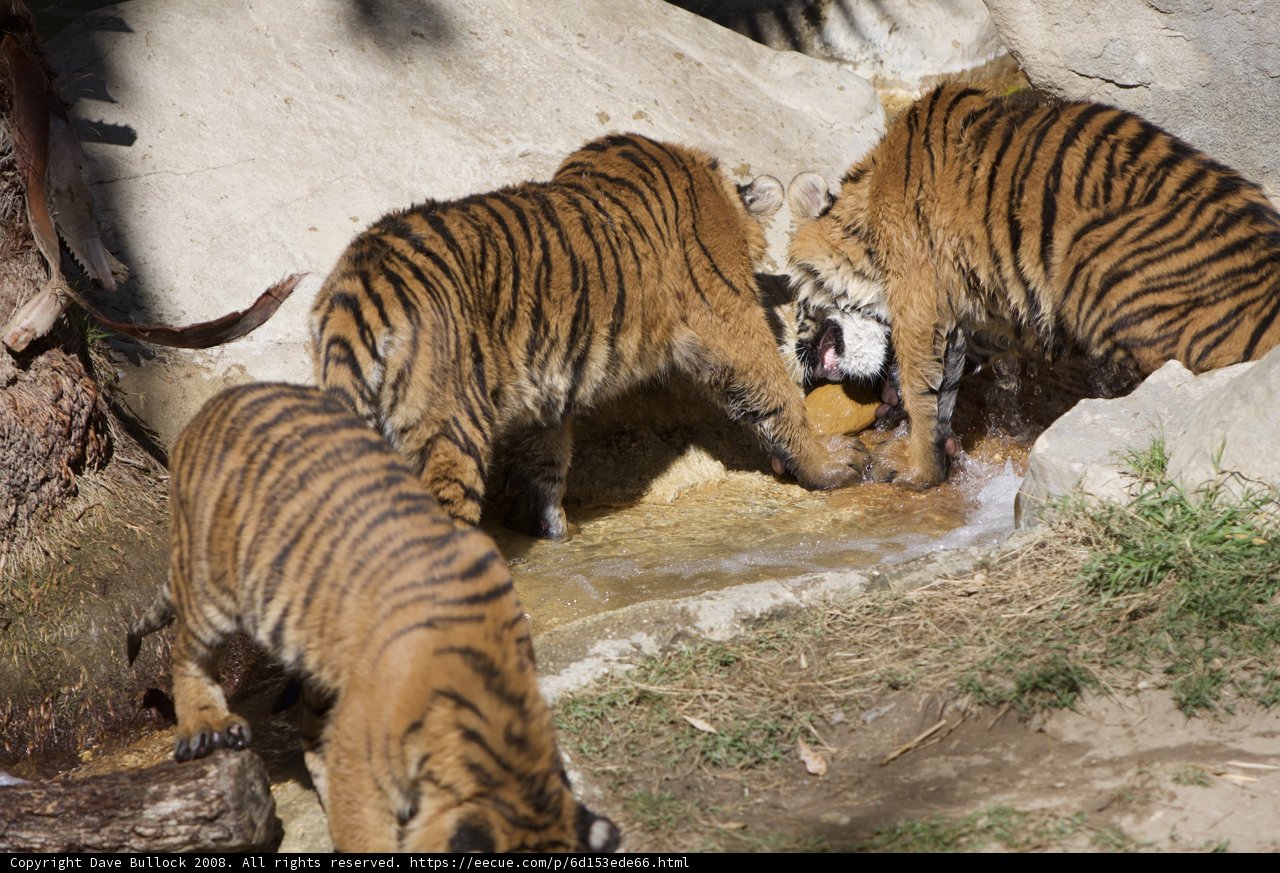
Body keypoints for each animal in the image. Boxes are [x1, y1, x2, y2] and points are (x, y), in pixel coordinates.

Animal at [126, 382, 620, 853]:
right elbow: (365, 826)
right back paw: (206, 726)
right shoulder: (362, 753)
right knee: (187, 653)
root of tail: (214, 404)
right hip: (212, 582)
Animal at [310, 133, 869, 538]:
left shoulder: (542, 390)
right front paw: (831, 464)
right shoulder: (727, 318)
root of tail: (360, 287)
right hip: (450, 429)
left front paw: (550, 527)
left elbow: (545, 455)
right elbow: (775, 392)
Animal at [786, 83, 1280, 487]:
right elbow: (946, 383)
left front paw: (914, 470)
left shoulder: (922, 300)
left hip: (1089, 253)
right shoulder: (985, 307)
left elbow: (922, 387)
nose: (800, 354)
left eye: (795, 301)